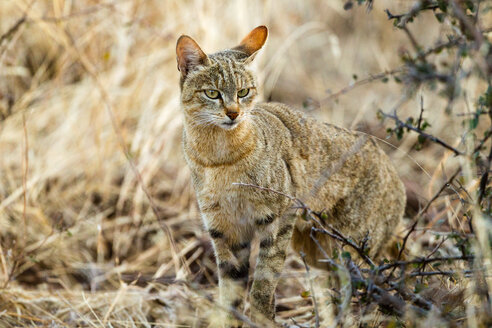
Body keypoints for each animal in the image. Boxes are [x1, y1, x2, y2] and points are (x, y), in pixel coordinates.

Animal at [175, 25, 406, 326]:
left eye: (244, 91)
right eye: (212, 93)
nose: (233, 113)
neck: (218, 158)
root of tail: (395, 174)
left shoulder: (278, 219)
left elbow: (263, 284)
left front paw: (262, 318)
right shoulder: (224, 229)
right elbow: (230, 293)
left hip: (349, 251)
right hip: (318, 250)